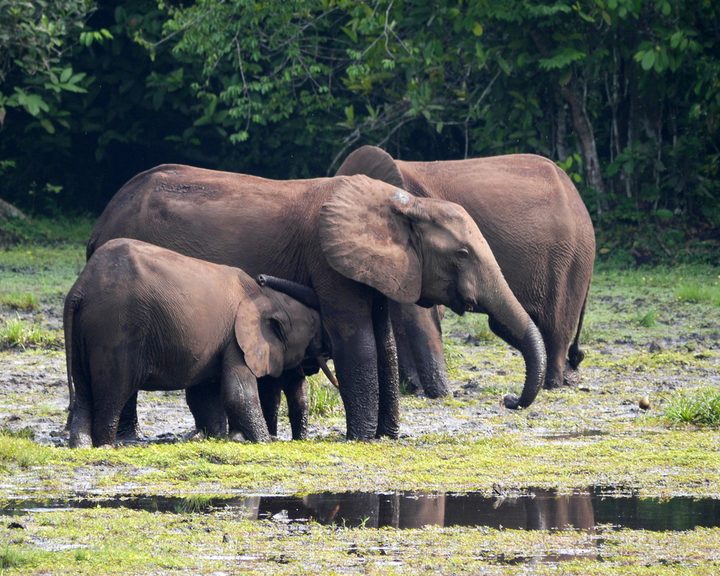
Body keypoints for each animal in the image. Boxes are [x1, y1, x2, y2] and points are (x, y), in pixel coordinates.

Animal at [64, 238, 332, 447]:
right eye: (313, 336)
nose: (263, 277)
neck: (268, 297)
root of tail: (79, 290)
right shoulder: (235, 339)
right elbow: (238, 394)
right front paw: (265, 442)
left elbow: (204, 394)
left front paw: (220, 438)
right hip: (115, 331)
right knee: (113, 391)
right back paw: (106, 445)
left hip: (82, 335)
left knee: (84, 391)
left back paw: (81, 445)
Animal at [87, 166, 547, 440]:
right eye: (463, 254)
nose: (509, 401)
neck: (401, 205)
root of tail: (103, 218)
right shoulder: (328, 261)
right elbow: (357, 342)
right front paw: (362, 438)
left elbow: (384, 343)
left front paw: (388, 436)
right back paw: (127, 439)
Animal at [337, 146, 595, 396]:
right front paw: (411, 389)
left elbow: (415, 314)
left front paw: (434, 393)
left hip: (570, 260)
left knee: (556, 325)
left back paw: (553, 384)